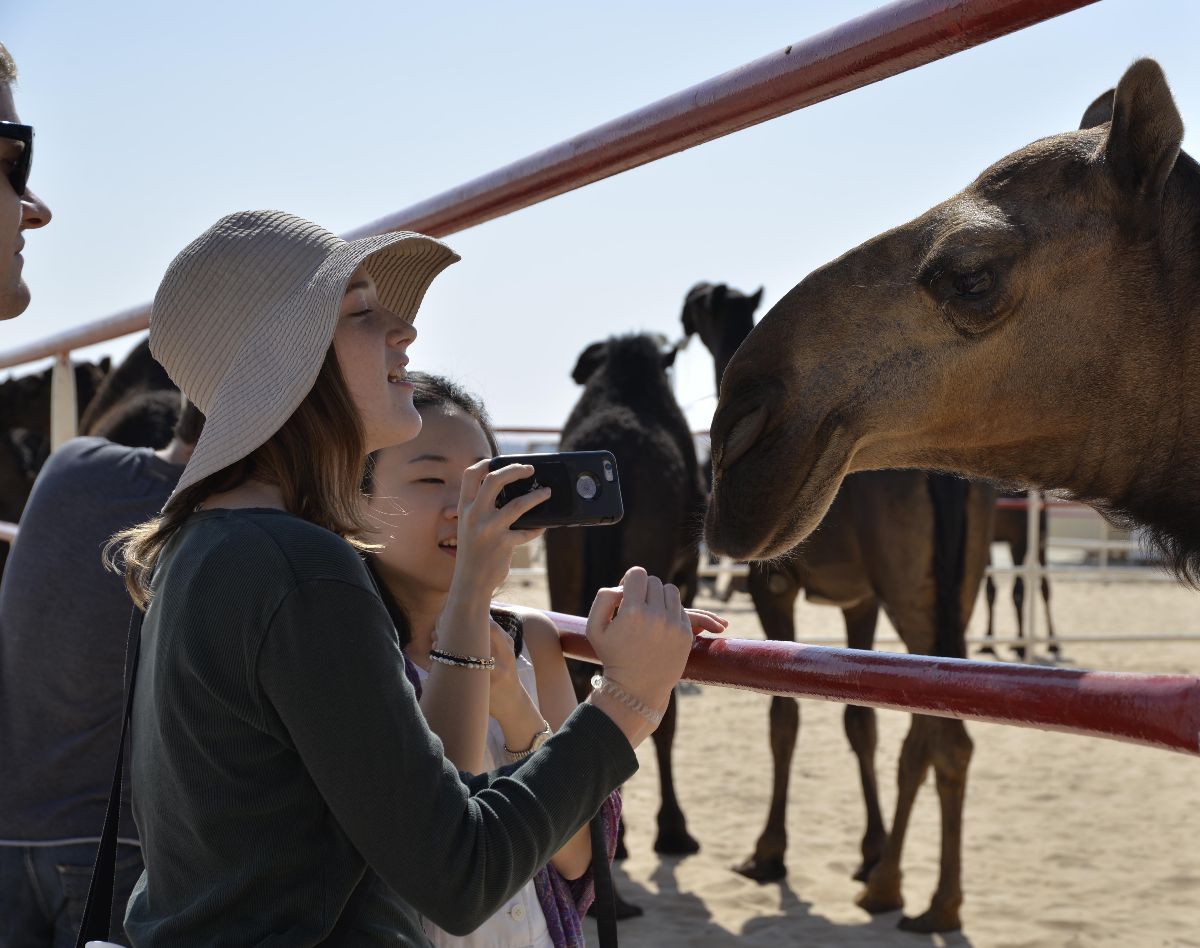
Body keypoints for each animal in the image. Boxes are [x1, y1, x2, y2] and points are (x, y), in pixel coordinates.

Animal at [686, 282, 993, 936]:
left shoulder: (772, 585)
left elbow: (784, 715)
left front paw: (767, 852)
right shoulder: (861, 598)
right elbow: (862, 720)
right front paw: (869, 849)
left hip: (914, 596)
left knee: (938, 735)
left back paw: (914, 896)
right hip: (953, 592)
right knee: (933, 736)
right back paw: (911, 891)